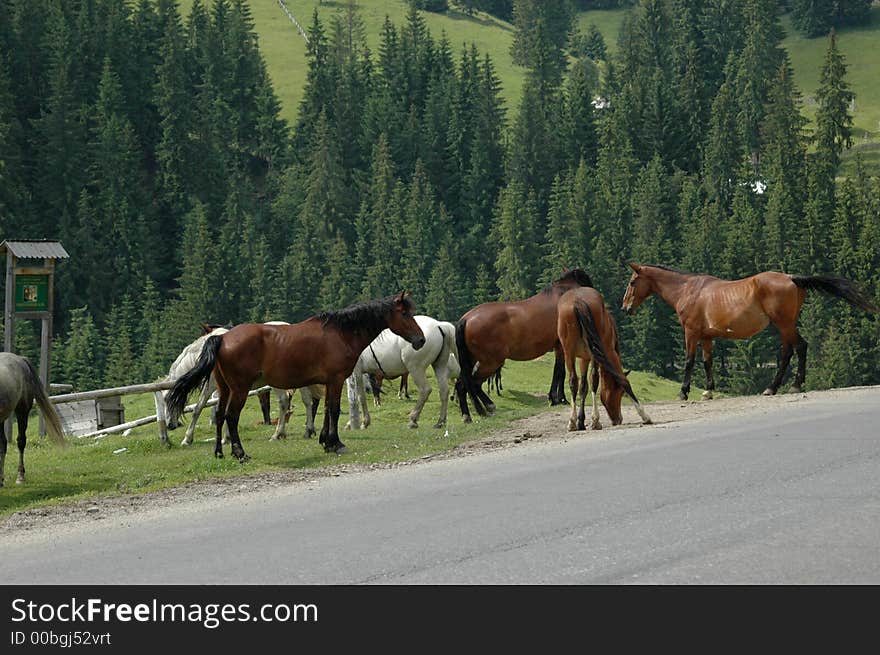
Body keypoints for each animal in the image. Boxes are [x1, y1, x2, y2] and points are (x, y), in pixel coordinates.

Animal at [162, 322, 324, 446]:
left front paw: (187, 439)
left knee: (284, 401)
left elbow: (198, 408)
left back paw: (277, 434)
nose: (170, 425)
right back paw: (307, 430)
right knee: (307, 401)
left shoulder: (212, 387)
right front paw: (226, 438)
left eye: (167, 400)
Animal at [458, 270, 596, 422]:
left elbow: (559, 371)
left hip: (473, 360)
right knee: (473, 383)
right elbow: (560, 372)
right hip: (490, 362)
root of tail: (466, 319)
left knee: (463, 384)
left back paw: (471, 414)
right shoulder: (561, 346)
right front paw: (557, 399)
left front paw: (556, 398)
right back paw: (485, 407)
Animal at [560, 288, 648, 430]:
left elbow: (583, 387)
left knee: (573, 381)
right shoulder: (601, 354)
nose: (618, 419)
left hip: (569, 353)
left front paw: (580, 421)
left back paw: (572, 422)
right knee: (598, 379)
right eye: (620, 393)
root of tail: (578, 300)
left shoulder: (584, 358)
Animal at [624, 262, 876, 400]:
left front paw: (683, 392)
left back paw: (789, 386)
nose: (625, 307)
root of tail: (792, 278)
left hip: (784, 324)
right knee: (789, 351)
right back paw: (776, 387)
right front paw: (708, 391)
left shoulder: (691, 332)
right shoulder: (706, 336)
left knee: (797, 348)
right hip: (785, 325)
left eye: (632, 282)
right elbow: (707, 362)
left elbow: (689, 361)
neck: (688, 290)